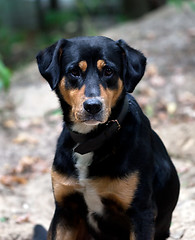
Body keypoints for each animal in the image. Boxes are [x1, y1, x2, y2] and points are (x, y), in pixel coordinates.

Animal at [35, 36, 180, 240]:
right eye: (74, 72)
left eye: (108, 71)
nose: (93, 106)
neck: (90, 140)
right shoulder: (65, 210)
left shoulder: (141, 212)